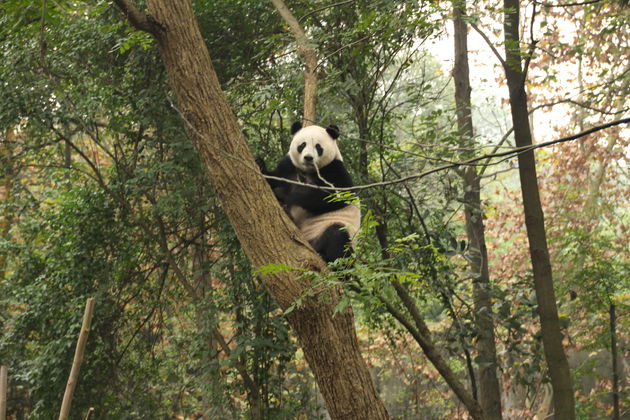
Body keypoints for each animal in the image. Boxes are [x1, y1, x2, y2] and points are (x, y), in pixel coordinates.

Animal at [256, 120, 362, 262]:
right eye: (302, 145)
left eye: (318, 147)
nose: (308, 158)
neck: (307, 171)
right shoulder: (288, 165)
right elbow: (275, 177)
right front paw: (260, 164)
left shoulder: (335, 169)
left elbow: (333, 197)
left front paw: (283, 193)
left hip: (329, 228)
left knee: (337, 236)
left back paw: (328, 259)